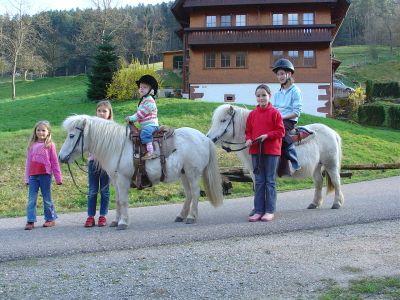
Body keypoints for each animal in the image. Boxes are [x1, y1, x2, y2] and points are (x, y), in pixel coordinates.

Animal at [58, 115, 225, 230]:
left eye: (71, 135)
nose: (60, 157)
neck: (117, 147)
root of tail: (204, 138)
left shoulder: (123, 180)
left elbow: (123, 201)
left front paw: (123, 223)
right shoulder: (115, 181)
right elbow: (117, 201)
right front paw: (115, 221)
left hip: (193, 173)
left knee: (195, 193)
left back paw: (191, 217)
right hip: (184, 173)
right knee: (189, 194)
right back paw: (181, 216)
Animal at [206, 104, 344, 210]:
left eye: (223, 120)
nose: (209, 138)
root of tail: (332, 132)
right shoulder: (255, 172)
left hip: (330, 163)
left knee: (336, 180)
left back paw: (337, 203)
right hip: (316, 165)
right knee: (319, 182)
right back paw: (314, 203)